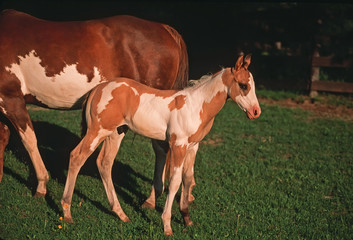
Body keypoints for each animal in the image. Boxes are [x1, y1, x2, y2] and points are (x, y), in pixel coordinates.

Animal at [0, 9, 187, 204]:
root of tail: (164, 28)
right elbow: (4, 136)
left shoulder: (10, 99)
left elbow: (29, 140)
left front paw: (41, 186)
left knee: (161, 148)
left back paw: (151, 199)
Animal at [60, 54, 260, 234]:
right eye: (243, 85)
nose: (256, 112)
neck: (196, 106)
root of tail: (97, 89)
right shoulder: (178, 145)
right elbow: (174, 182)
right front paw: (167, 225)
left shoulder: (193, 146)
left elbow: (188, 179)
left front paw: (186, 219)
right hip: (97, 131)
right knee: (76, 157)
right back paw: (67, 212)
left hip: (115, 133)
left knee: (104, 163)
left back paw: (121, 214)